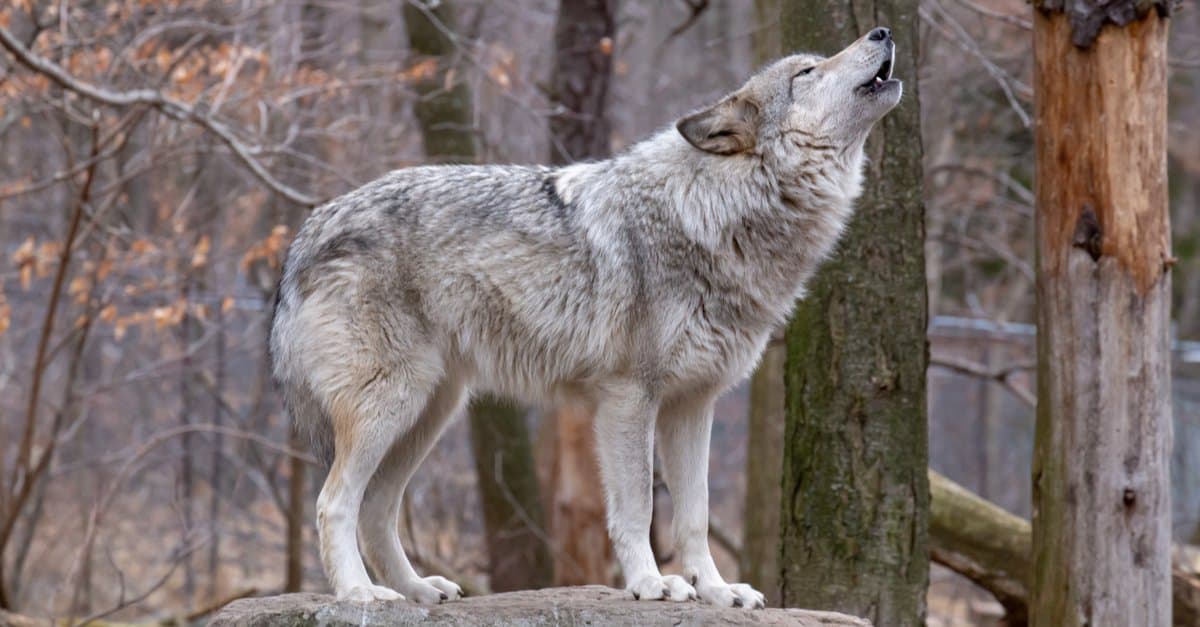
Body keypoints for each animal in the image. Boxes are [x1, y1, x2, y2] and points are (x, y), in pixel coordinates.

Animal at [270, 27, 902, 608]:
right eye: (807, 72)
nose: (882, 30)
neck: (713, 212)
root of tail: (309, 229)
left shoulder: (693, 405)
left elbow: (694, 518)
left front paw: (719, 592)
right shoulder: (629, 398)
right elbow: (637, 507)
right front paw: (652, 583)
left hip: (430, 411)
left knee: (376, 509)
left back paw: (418, 590)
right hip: (393, 405)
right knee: (334, 503)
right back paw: (359, 594)